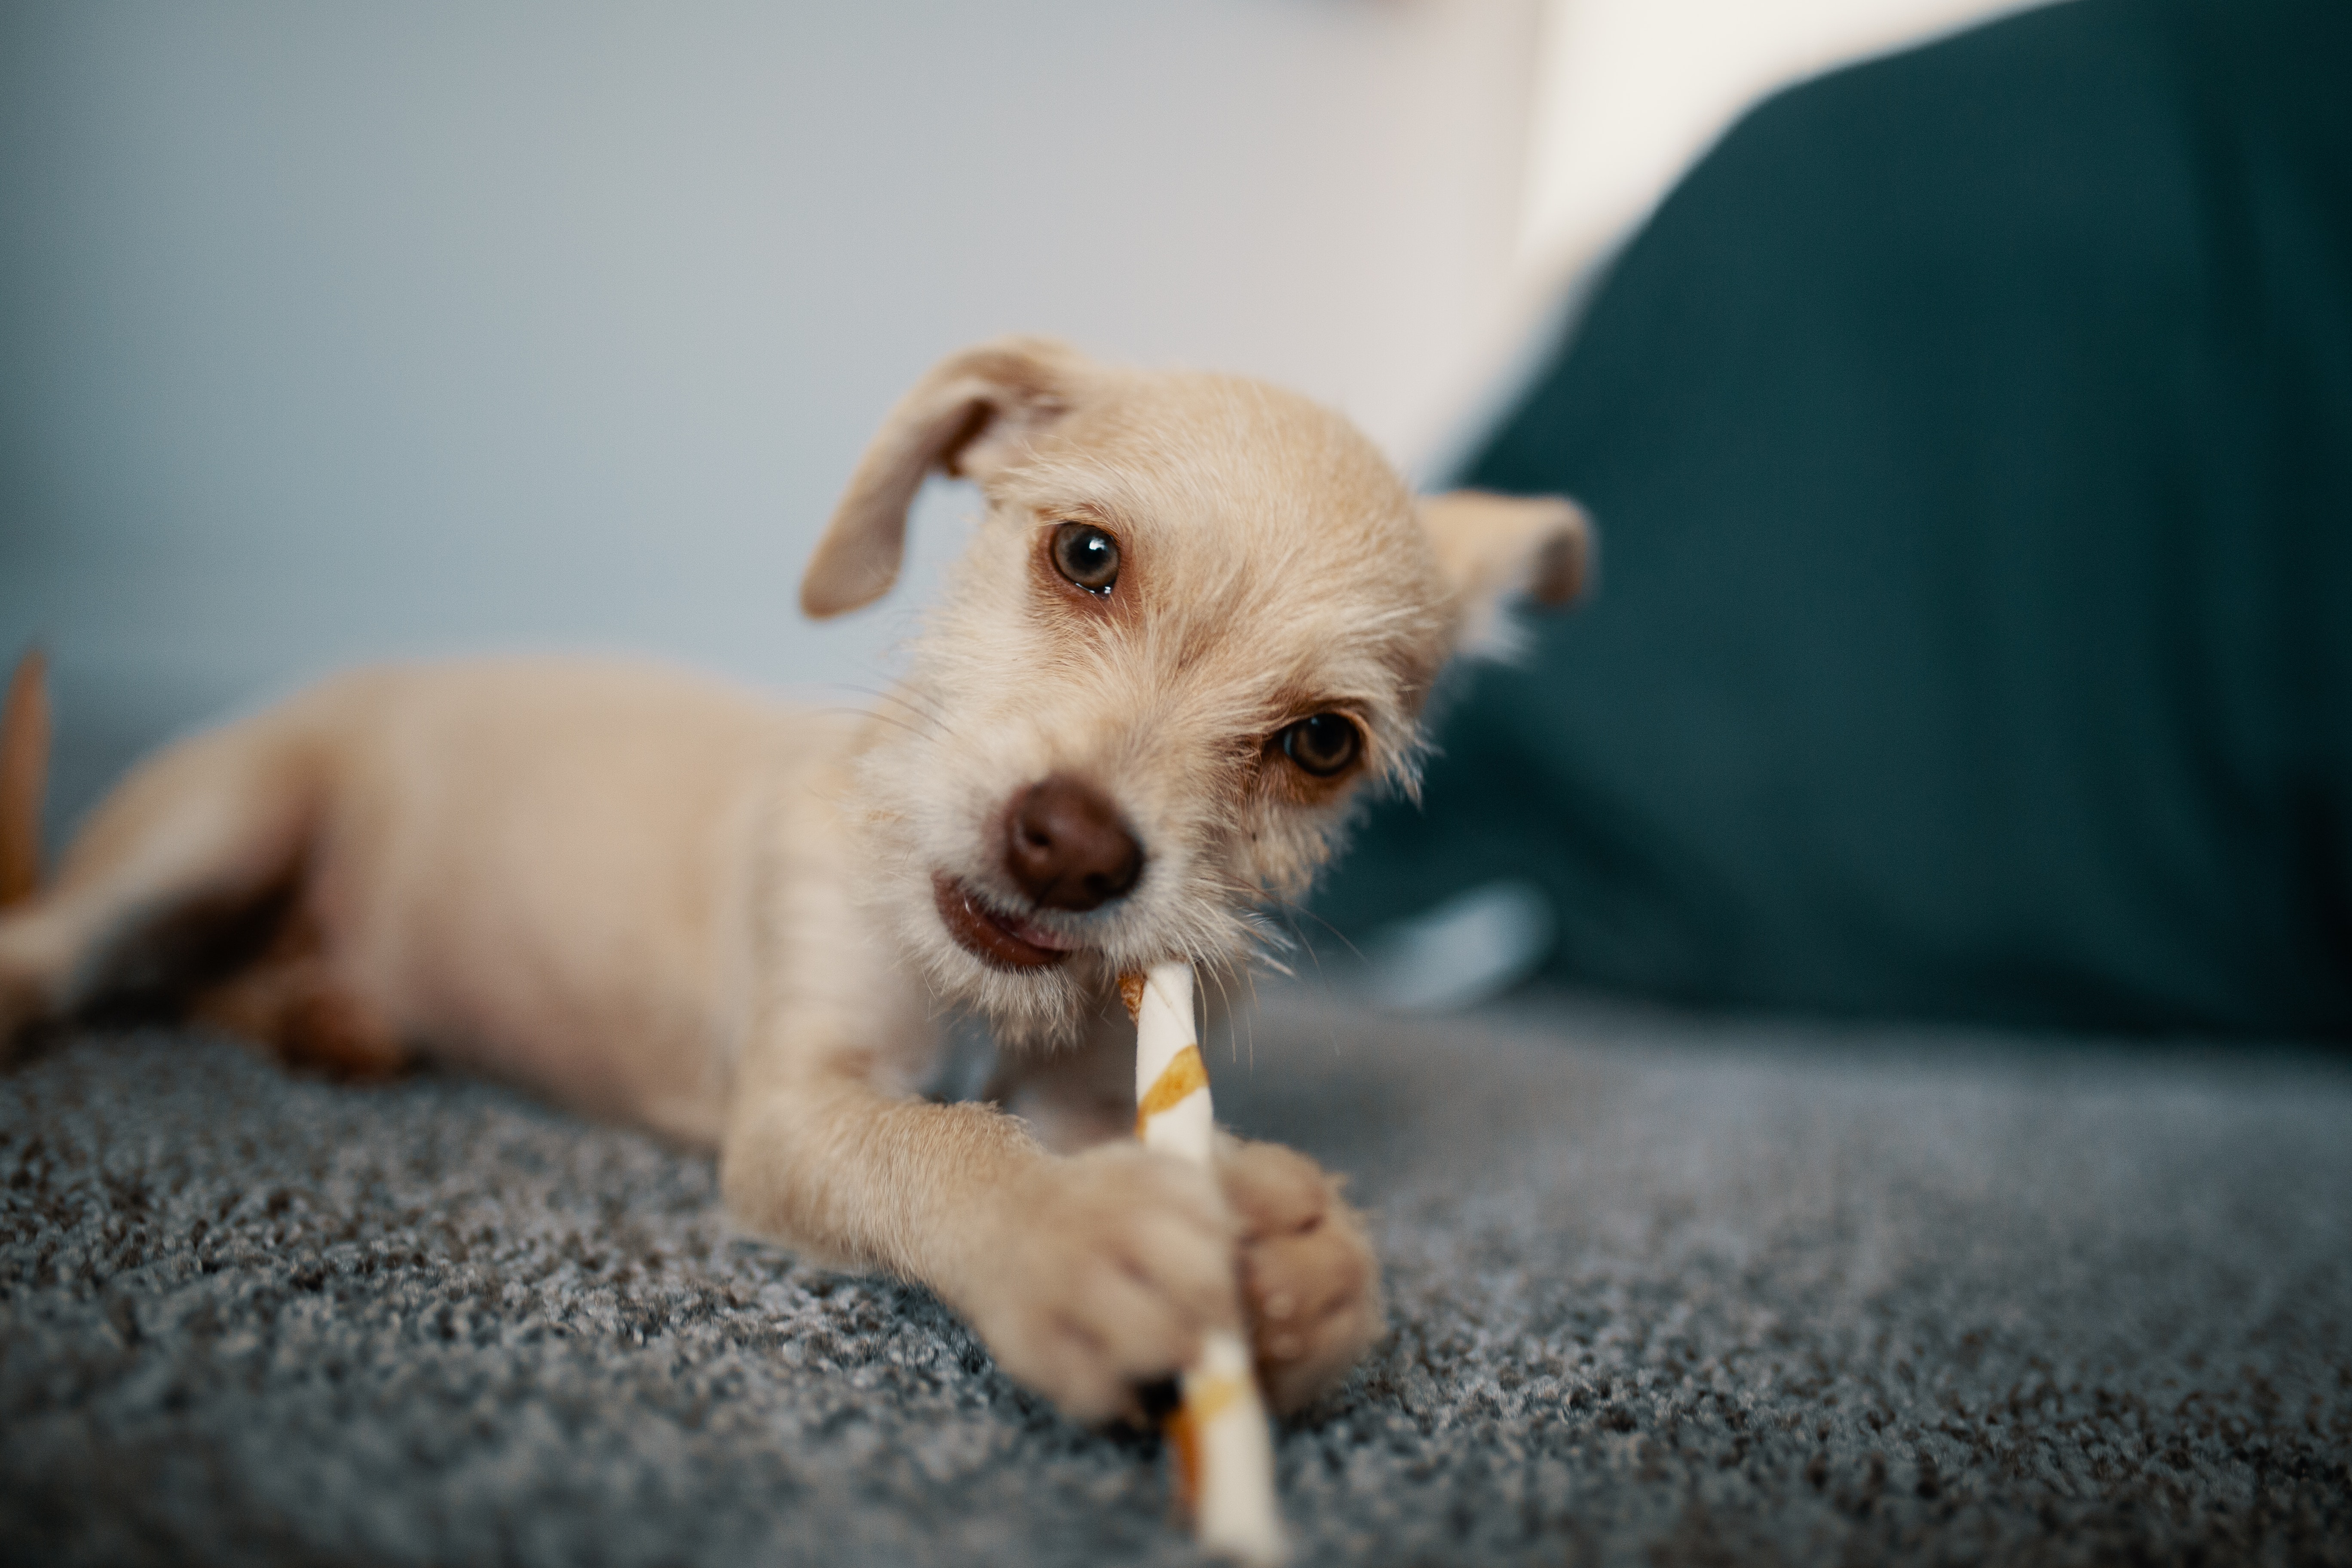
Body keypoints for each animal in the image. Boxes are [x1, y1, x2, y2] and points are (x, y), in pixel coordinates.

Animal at [4, 338, 1599, 1429]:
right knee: (79, 943)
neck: (969, 995)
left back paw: (324, 1013)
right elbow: (941, 1149)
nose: (1073, 848)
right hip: (221, 820)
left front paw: (1307, 1264)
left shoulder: (1095, 1087)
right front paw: (1073, 1238)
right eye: (1086, 553)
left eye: (1322, 743)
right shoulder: (794, 1105)